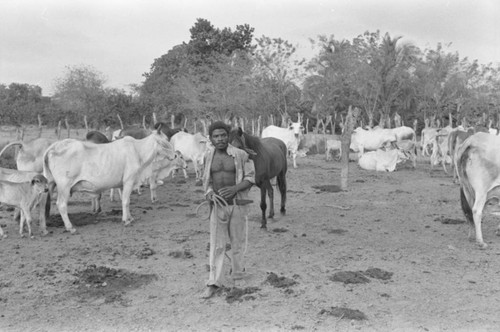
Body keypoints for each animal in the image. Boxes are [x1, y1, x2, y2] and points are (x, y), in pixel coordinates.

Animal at [43, 128, 176, 232]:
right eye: (165, 141)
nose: (175, 155)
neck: (138, 151)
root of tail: (54, 146)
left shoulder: (122, 184)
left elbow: (126, 200)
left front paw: (130, 217)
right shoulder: (129, 180)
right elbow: (126, 201)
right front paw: (126, 221)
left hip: (51, 183)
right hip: (64, 186)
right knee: (61, 205)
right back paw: (69, 227)